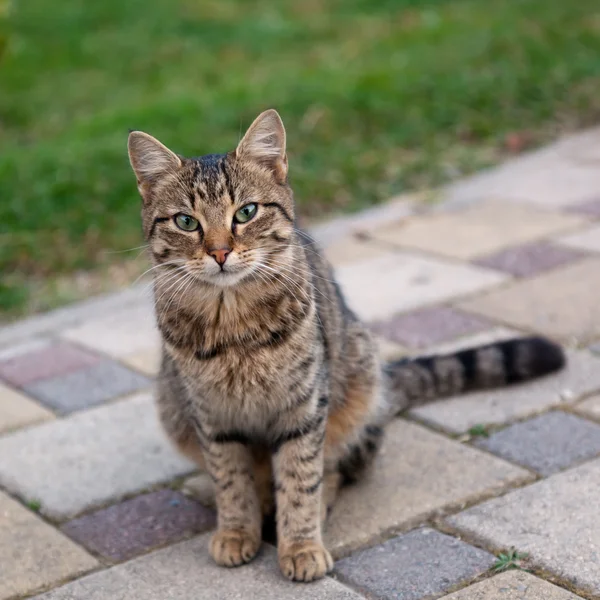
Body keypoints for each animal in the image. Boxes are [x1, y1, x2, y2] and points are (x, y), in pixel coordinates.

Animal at [125, 109, 564, 580]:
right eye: (186, 221)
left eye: (246, 212)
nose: (220, 252)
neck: (233, 325)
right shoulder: (212, 417)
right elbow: (231, 481)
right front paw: (237, 530)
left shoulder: (303, 407)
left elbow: (300, 478)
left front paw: (300, 544)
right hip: (173, 408)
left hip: (356, 388)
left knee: (337, 468)